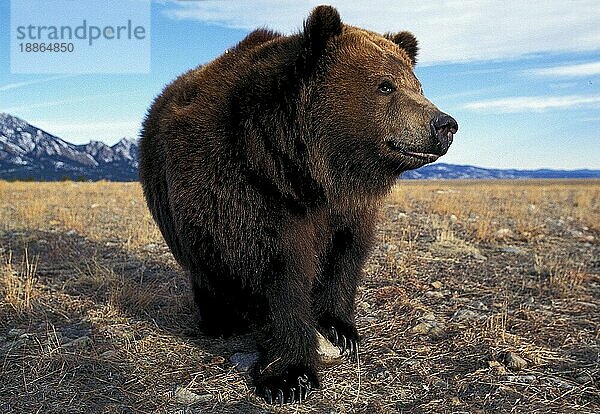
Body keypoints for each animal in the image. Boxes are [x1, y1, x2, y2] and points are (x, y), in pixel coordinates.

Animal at [138, 3, 458, 404]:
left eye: (418, 86)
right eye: (386, 85)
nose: (445, 124)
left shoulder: (346, 210)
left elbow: (344, 258)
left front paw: (340, 331)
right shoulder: (245, 190)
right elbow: (274, 270)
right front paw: (290, 375)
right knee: (206, 274)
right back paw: (219, 321)